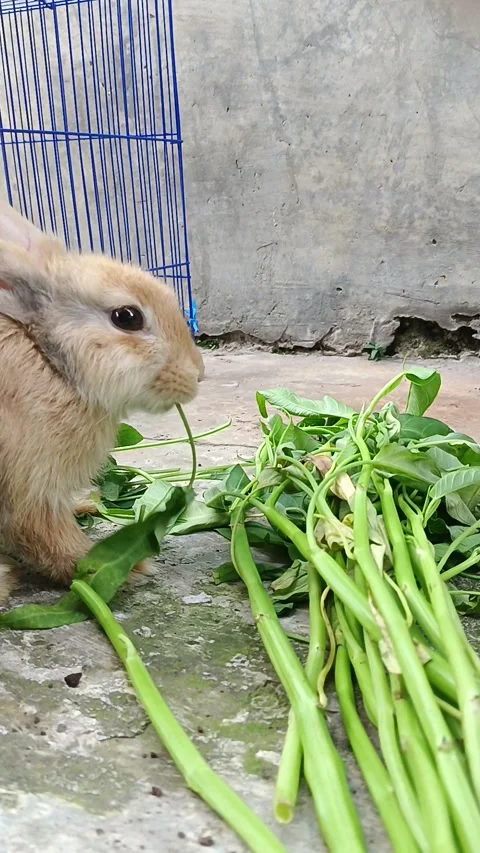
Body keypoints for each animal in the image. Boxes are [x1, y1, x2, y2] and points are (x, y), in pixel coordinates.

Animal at [0, 201, 204, 602]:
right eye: (127, 317)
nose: (197, 373)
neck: (52, 362)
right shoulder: (30, 486)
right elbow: (45, 536)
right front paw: (125, 570)